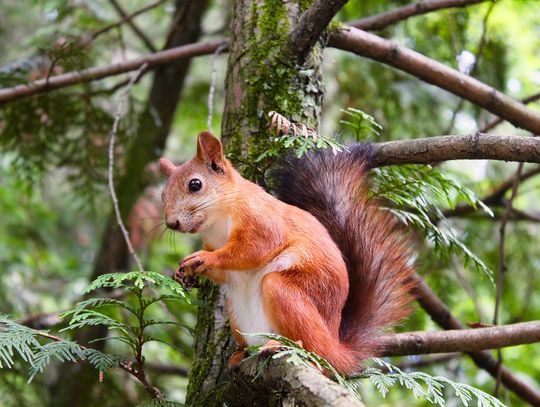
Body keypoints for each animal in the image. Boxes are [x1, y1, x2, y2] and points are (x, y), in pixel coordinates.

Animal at [158, 131, 416, 376]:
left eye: (195, 184)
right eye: (162, 195)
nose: (172, 223)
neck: (218, 221)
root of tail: (336, 348)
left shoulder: (261, 222)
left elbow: (252, 250)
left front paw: (204, 258)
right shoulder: (214, 242)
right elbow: (225, 273)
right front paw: (184, 273)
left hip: (287, 292)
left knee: (314, 350)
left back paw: (285, 347)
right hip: (236, 311)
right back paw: (240, 354)